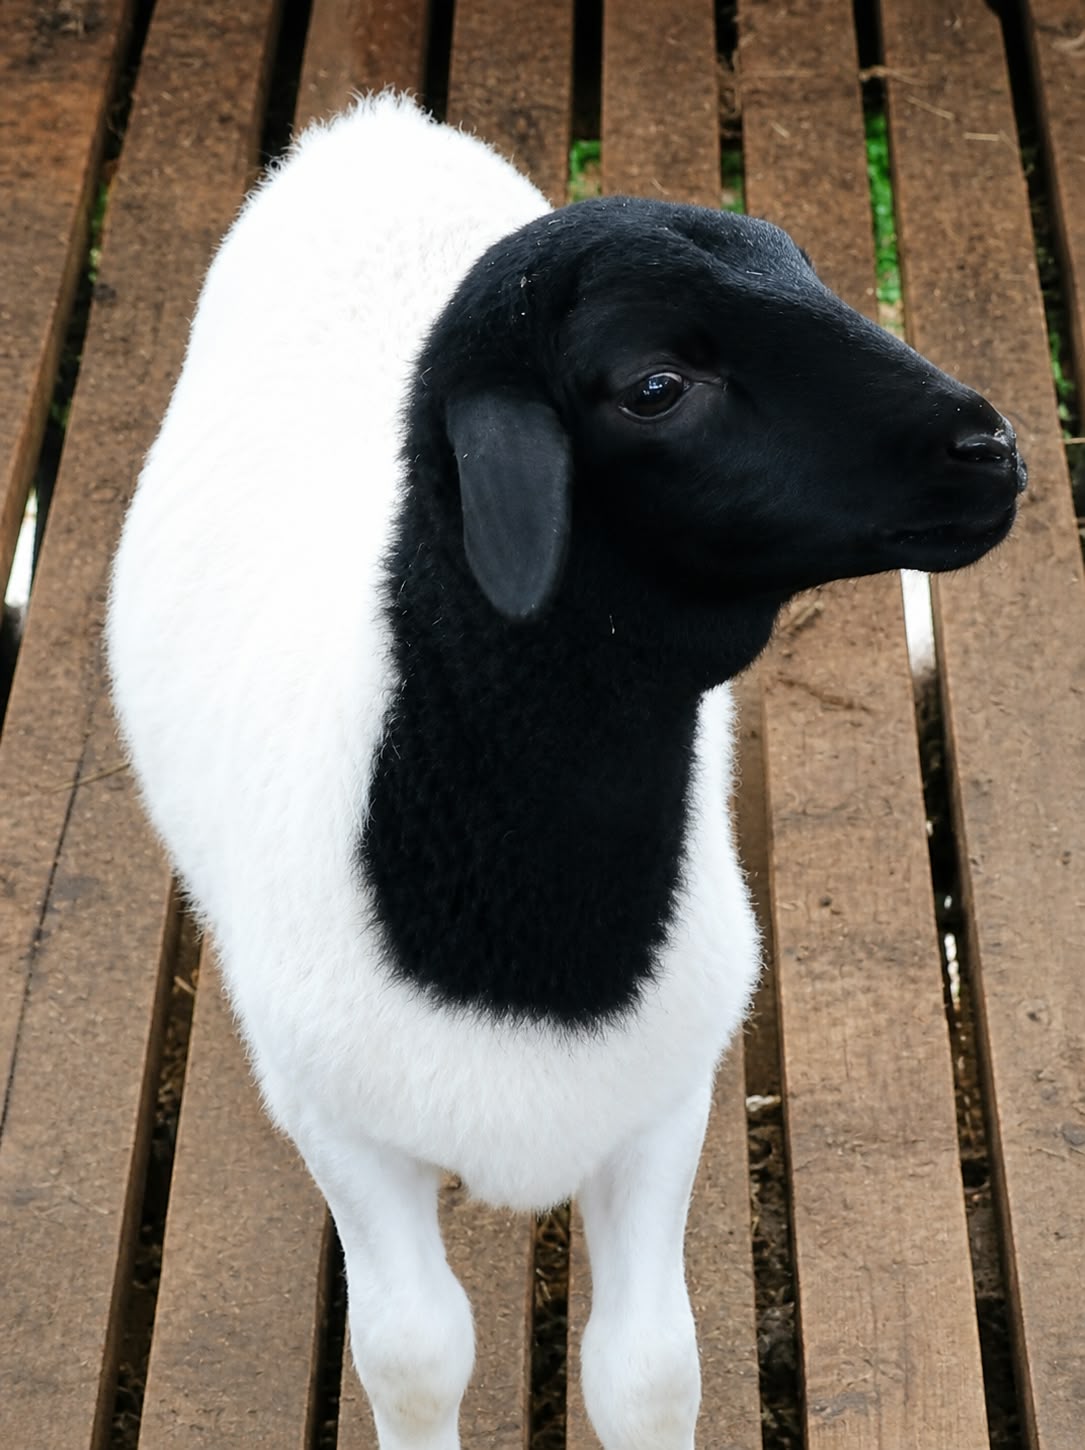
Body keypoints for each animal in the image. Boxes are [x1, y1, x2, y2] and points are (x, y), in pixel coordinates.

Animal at [106, 91, 1026, 1450]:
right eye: (655, 386)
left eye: (806, 269)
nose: (990, 446)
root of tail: (372, 126)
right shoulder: (346, 1130)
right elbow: (414, 1354)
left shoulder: (660, 1103)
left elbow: (644, 1367)